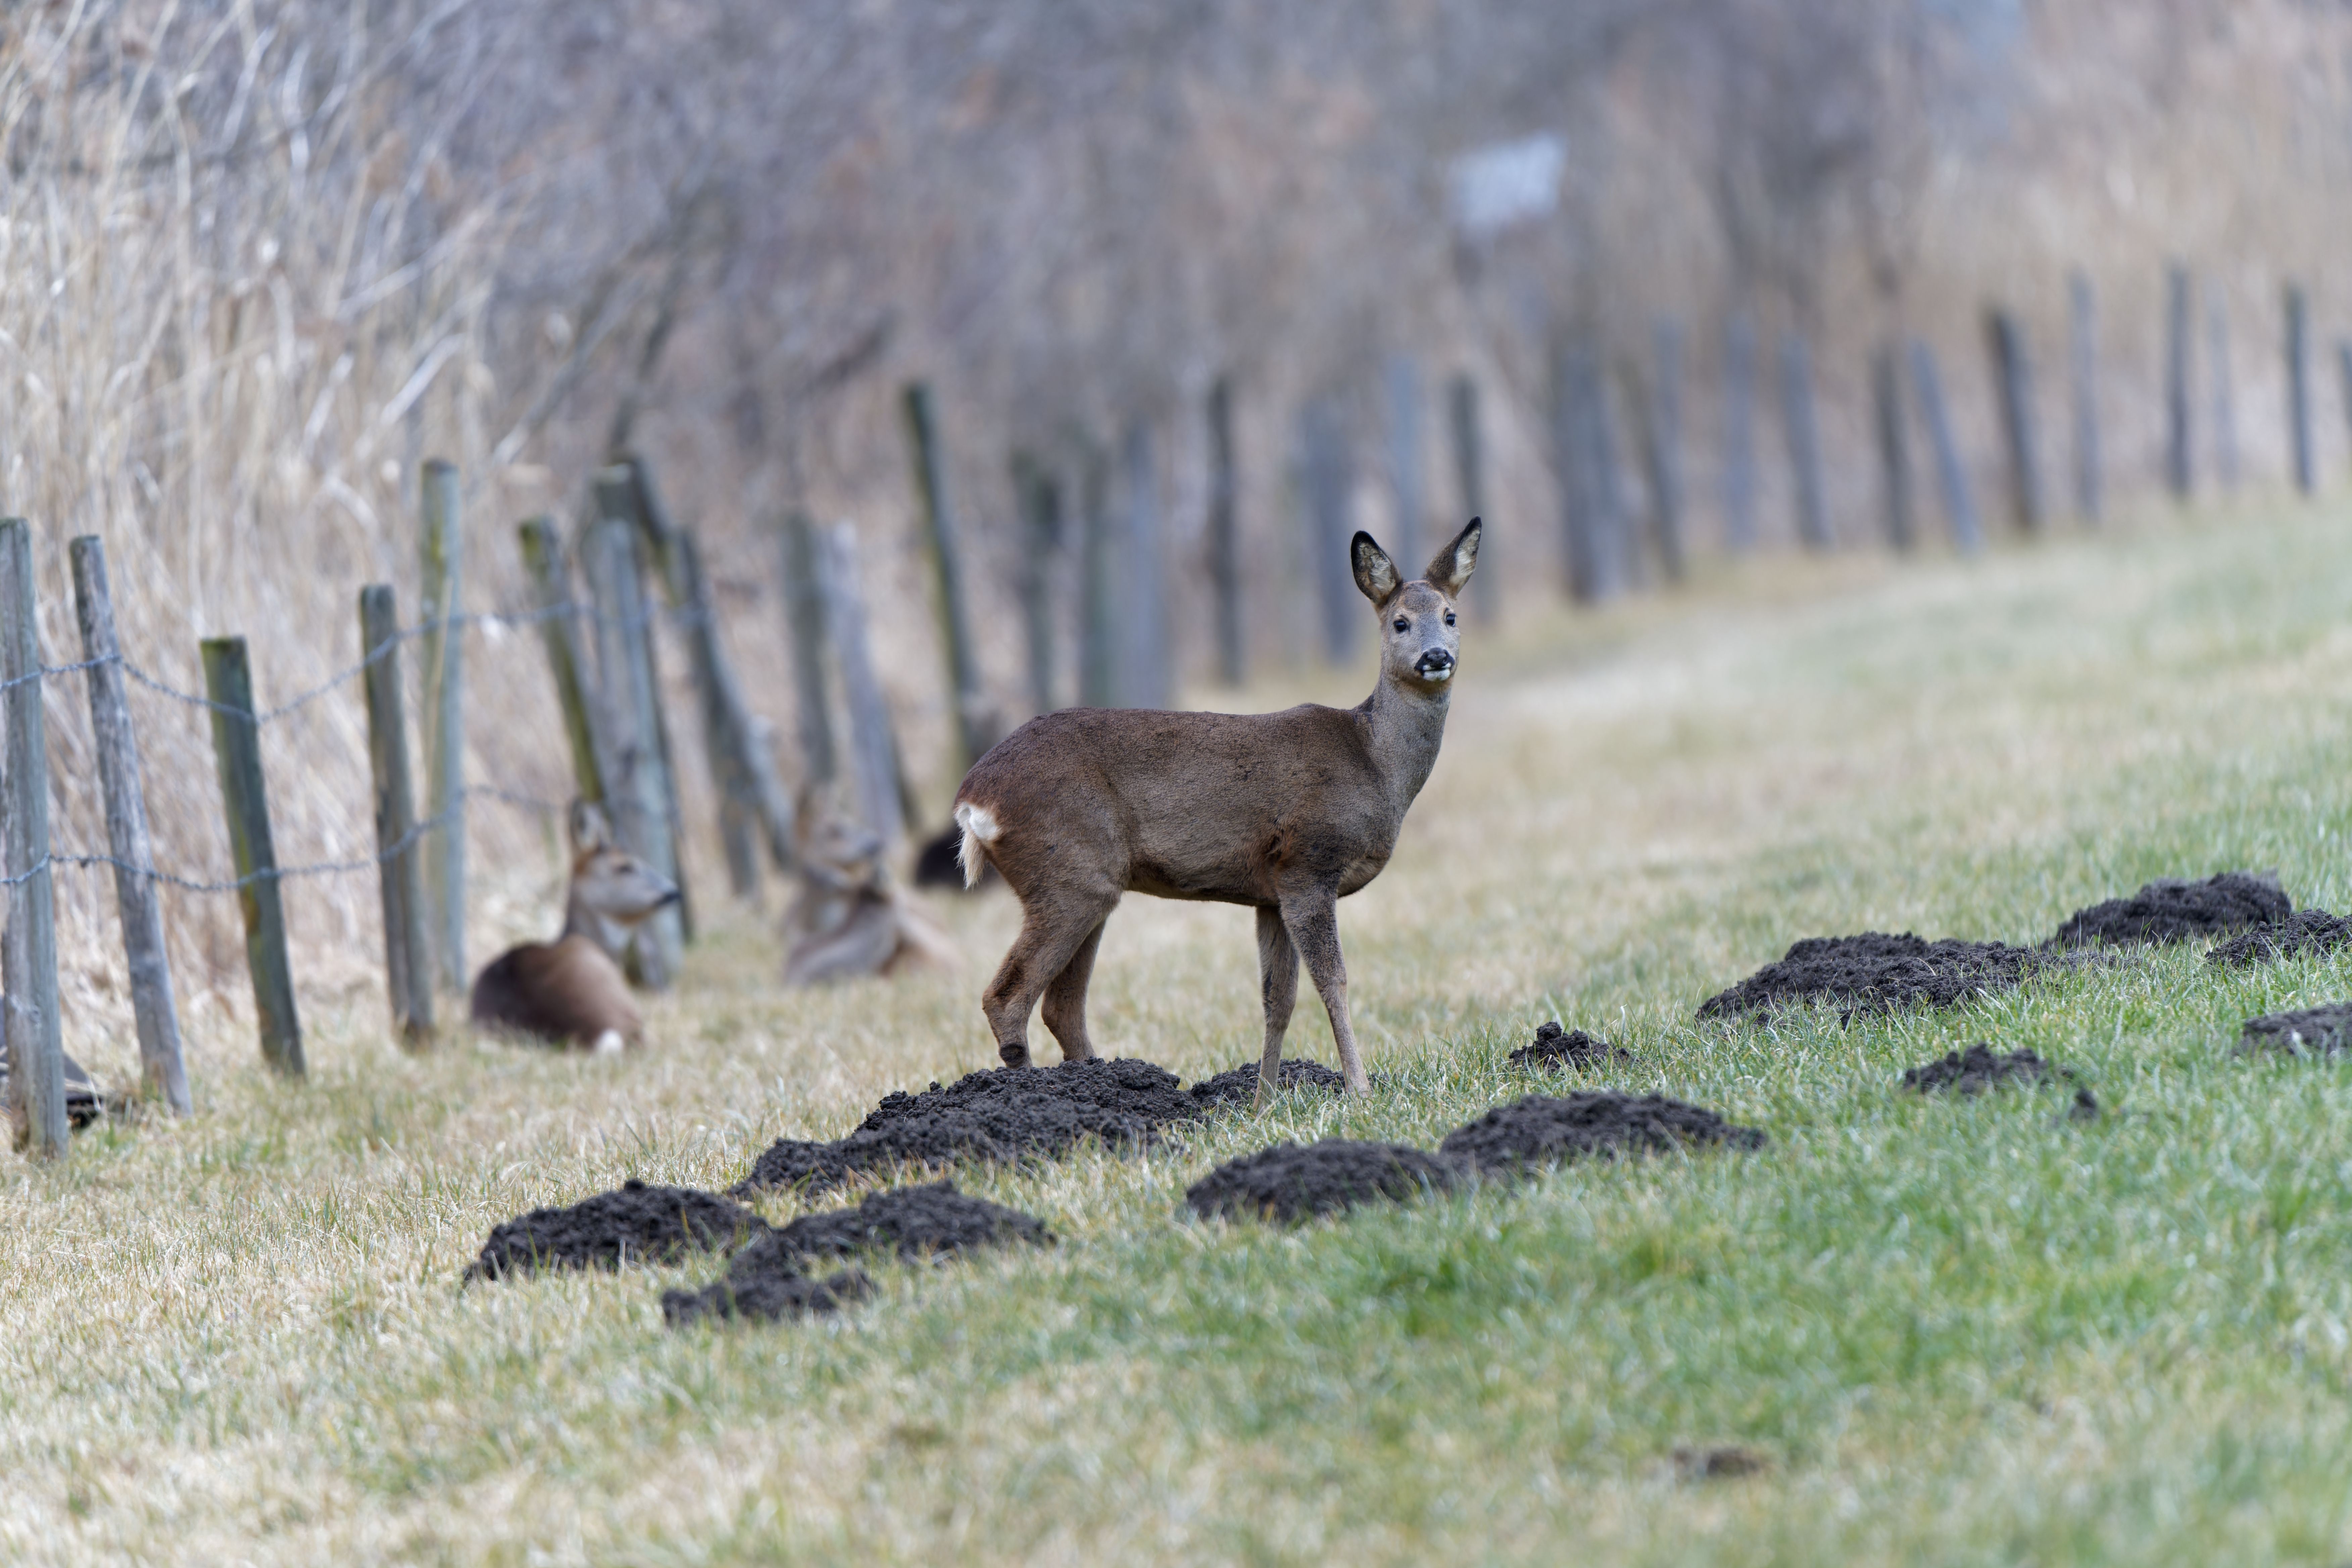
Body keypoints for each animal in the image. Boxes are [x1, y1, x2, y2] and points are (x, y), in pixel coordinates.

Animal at [953, 517, 1480, 1103]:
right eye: (1400, 623)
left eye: (1451, 616)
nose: (1436, 657)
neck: (1374, 763)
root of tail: (973, 798)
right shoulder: (1309, 864)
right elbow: (1334, 982)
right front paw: (1359, 1090)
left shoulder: (1271, 892)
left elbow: (1278, 999)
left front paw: (1265, 1100)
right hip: (1068, 871)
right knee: (1007, 997)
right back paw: (1035, 1097)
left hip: (1086, 883)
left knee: (1061, 1006)